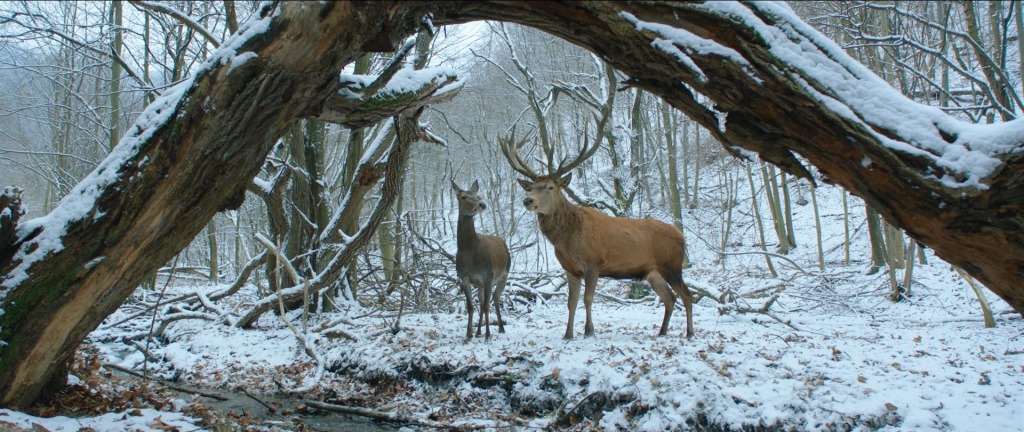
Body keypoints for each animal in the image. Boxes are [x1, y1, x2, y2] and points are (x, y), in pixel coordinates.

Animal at [450, 179, 509, 339]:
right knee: (483, 302)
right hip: (480, 284)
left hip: (504, 274)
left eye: (478, 195)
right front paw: (469, 333)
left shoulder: (488, 275)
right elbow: (471, 307)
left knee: (495, 299)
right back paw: (478, 332)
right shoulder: (464, 277)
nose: (482, 204)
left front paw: (488, 334)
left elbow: (487, 306)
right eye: (463, 196)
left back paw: (500, 328)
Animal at [501, 132, 696, 339]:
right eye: (530, 188)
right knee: (670, 298)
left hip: (672, 266)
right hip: (652, 272)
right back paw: (662, 331)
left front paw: (589, 331)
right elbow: (571, 302)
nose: (527, 200)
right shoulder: (570, 269)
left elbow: (588, 298)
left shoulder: (593, 263)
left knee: (687, 295)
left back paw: (689, 332)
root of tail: (682, 236)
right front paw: (568, 334)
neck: (566, 241)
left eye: (550, 187)